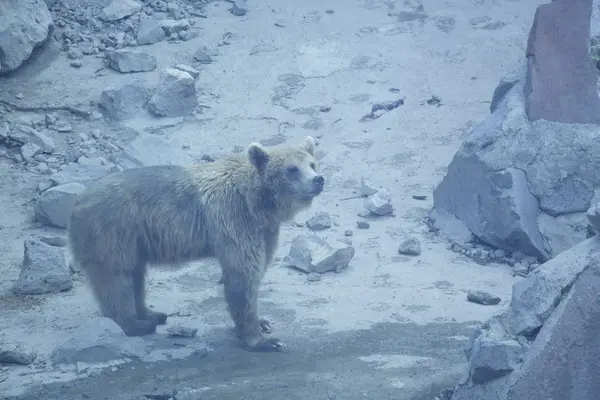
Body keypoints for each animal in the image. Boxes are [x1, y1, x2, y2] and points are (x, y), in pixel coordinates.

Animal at [67, 136, 324, 352]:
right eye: (292, 168)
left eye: (312, 164)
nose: (318, 180)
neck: (258, 203)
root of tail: (77, 202)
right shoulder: (234, 220)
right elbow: (242, 274)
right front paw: (264, 340)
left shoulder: (266, 230)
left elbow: (258, 268)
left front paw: (262, 323)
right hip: (112, 231)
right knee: (116, 278)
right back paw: (134, 324)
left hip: (134, 240)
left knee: (134, 276)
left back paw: (150, 314)